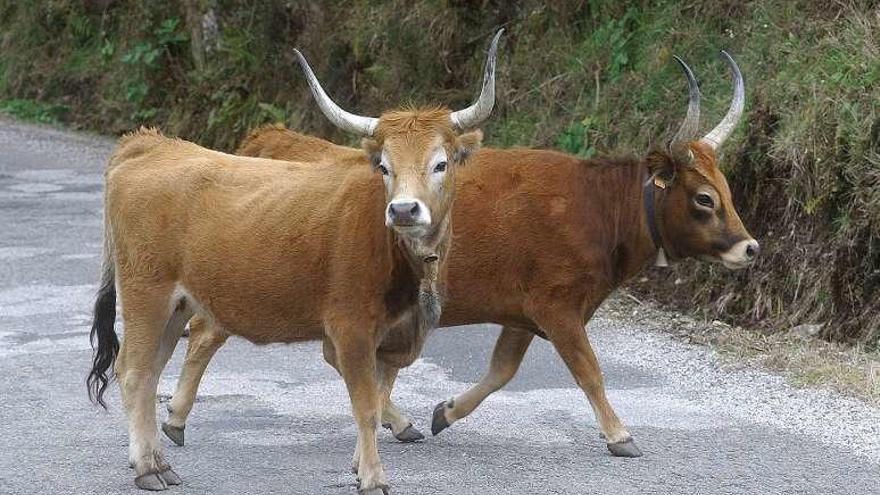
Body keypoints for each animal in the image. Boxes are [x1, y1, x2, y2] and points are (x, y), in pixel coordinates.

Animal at [87, 29, 506, 494]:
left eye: (441, 163)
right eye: (384, 166)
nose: (403, 210)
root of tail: (149, 144)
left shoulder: (384, 332)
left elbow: (378, 396)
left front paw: (361, 464)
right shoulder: (350, 328)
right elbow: (365, 405)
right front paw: (373, 477)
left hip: (176, 304)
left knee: (153, 372)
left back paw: (158, 460)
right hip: (146, 296)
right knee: (134, 371)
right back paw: (146, 467)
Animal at [162, 51, 760, 462]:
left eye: (726, 190)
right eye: (703, 199)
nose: (750, 247)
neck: (594, 204)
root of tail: (271, 141)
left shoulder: (523, 314)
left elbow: (501, 371)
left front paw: (444, 413)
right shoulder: (559, 309)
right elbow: (589, 372)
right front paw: (620, 434)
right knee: (208, 333)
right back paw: (175, 418)